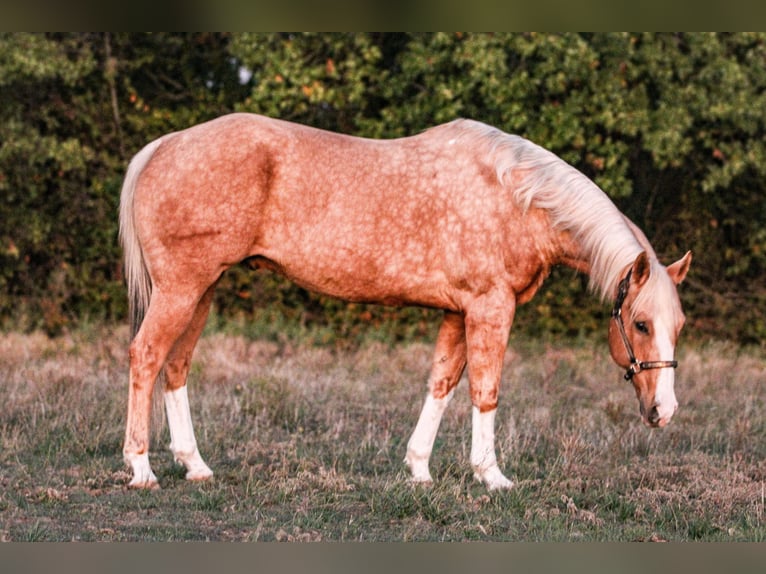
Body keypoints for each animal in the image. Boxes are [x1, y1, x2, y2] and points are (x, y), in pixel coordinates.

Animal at [117, 112, 692, 490]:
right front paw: (492, 477)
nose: (664, 411)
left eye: (679, 325)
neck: (518, 197)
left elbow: (441, 382)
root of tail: (162, 146)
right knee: (146, 357)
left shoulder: (458, 311)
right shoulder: (490, 308)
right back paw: (141, 469)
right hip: (182, 288)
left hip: (203, 289)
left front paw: (418, 468)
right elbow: (485, 390)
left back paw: (195, 466)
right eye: (641, 324)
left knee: (176, 366)